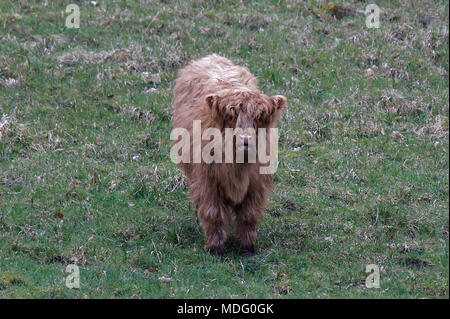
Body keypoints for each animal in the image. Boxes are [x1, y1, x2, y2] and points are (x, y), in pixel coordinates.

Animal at [171, 53, 286, 256]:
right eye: (232, 117)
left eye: (259, 118)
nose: (246, 140)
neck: (238, 169)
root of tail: (212, 56)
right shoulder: (208, 181)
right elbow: (213, 213)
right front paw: (214, 247)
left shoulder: (256, 185)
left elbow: (249, 214)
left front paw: (247, 246)